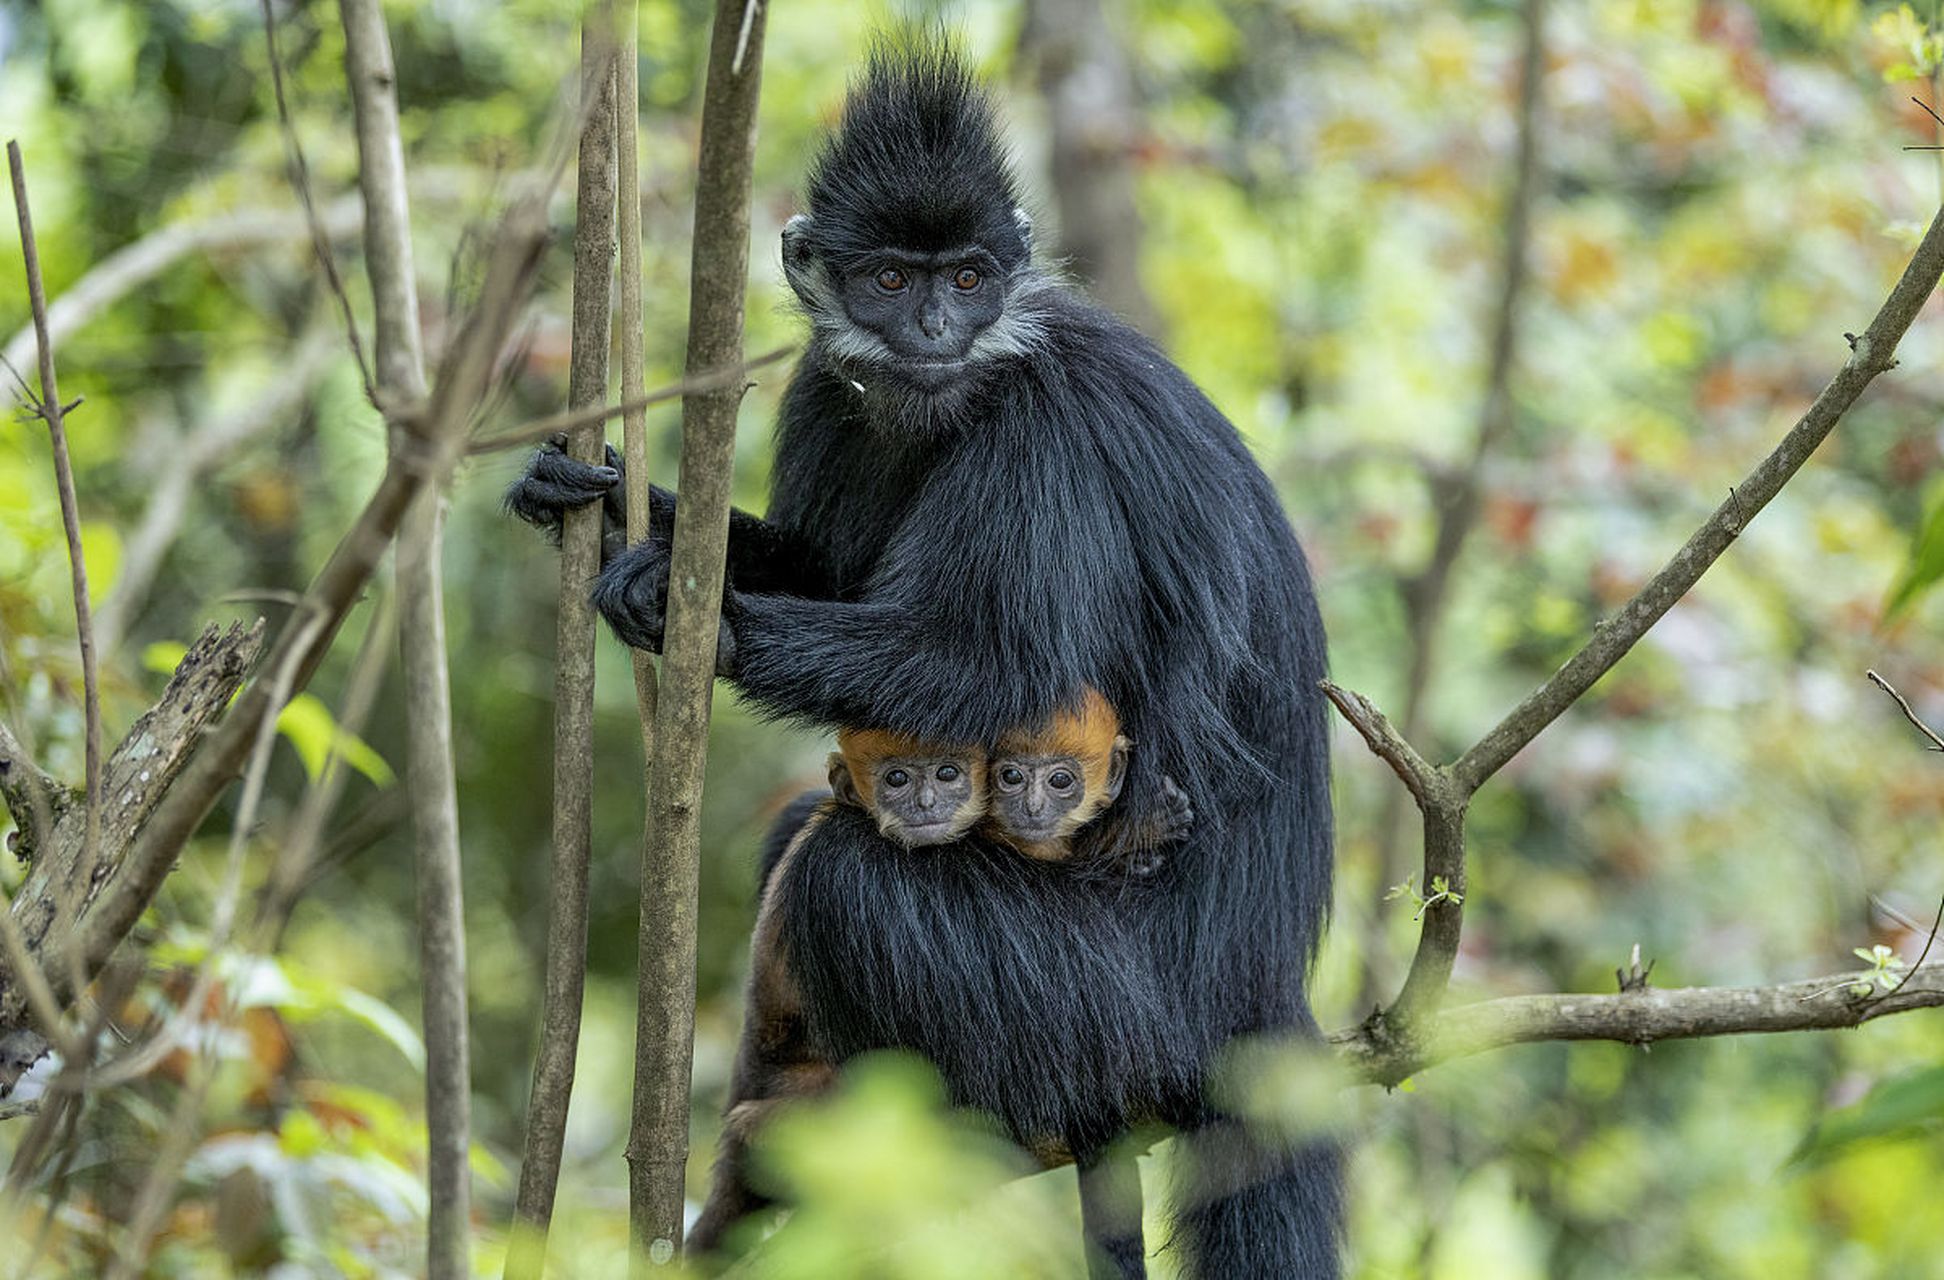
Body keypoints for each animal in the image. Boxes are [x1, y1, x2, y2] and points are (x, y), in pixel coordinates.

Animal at [509, 39, 1345, 1276]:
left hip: (1113, 1010)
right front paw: (601, 497)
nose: (937, 334)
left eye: (967, 279)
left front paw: (680, 599)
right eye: (893, 284)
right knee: (804, 831)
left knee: (847, 879)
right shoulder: (831, 385)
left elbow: (990, 666)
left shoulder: (1048, 427)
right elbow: (827, 568)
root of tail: (1264, 993)